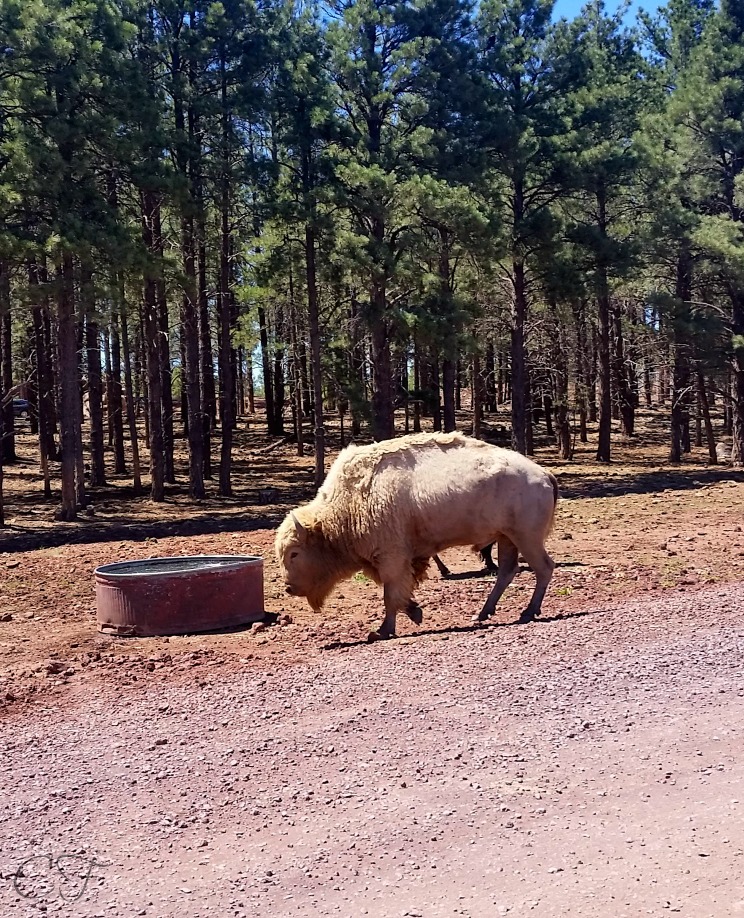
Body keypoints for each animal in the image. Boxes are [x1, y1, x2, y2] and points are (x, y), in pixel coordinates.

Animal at [274, 434, 560, 644]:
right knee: (507, 571)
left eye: (295, 553)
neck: (344, 509)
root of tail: (544, 474)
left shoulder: (391, 558)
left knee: (543, 567)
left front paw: (383, 630)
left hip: (526, 538)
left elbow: (390, 595)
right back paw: (483, 613)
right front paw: (414, 612)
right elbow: (399, 592)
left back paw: (528, 612)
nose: (289, 588)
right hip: (507, 538)